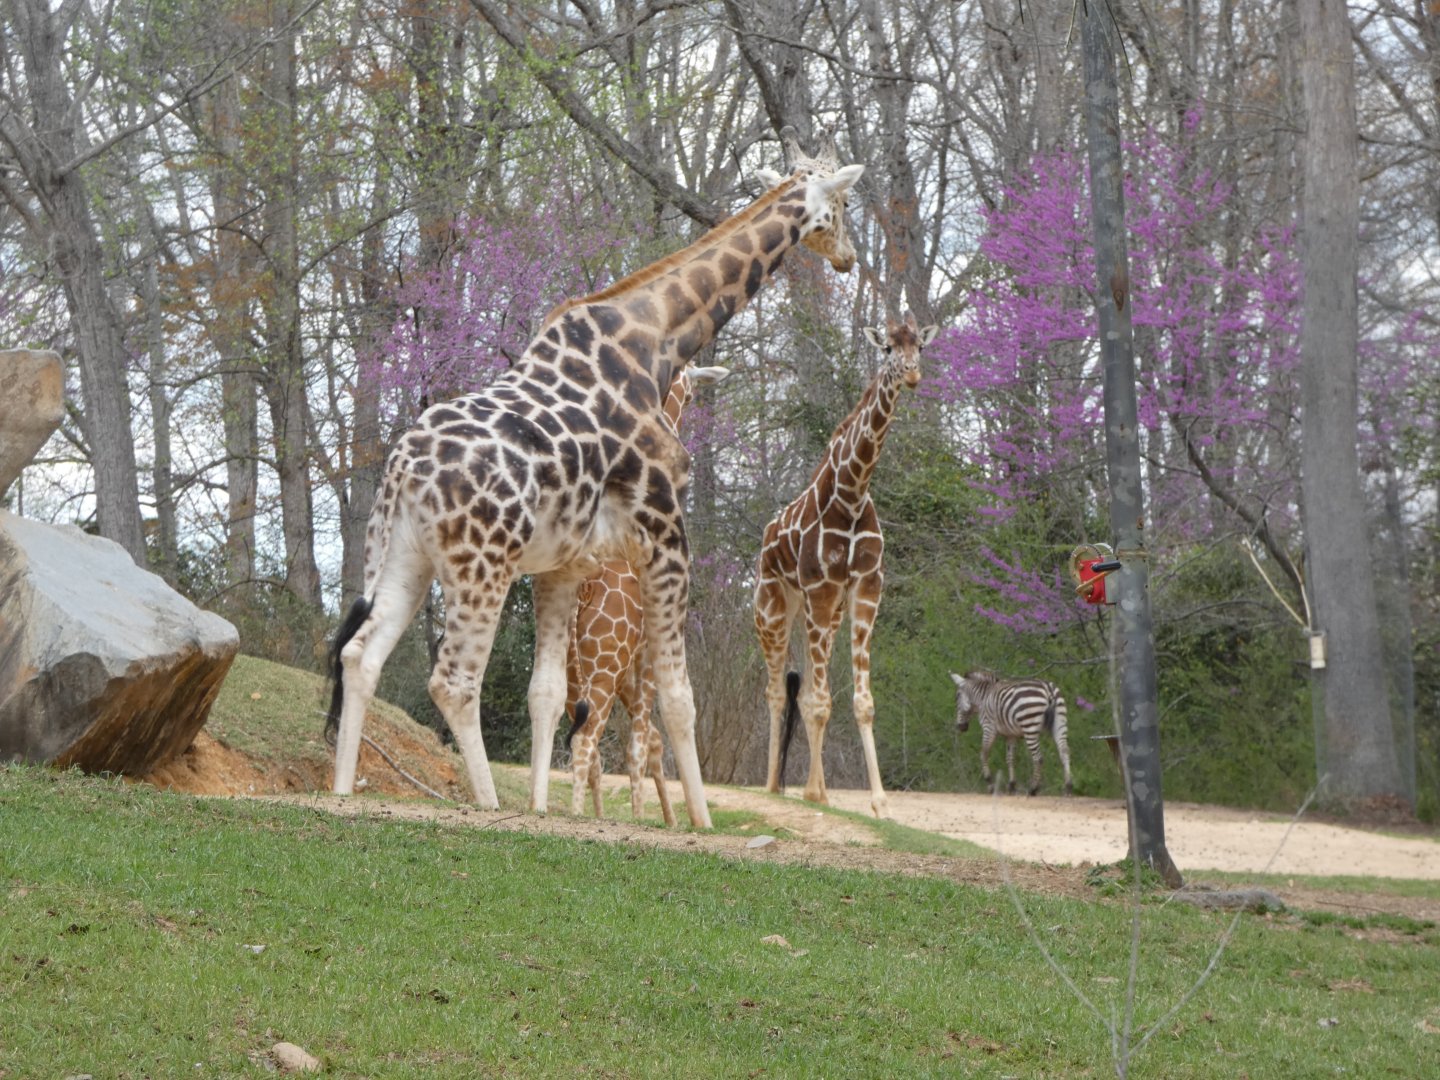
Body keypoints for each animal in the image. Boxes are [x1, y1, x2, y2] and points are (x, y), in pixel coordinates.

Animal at [565, 365, 730, 826]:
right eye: (689, 394)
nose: (687, 399)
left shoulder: (630, 670)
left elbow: (646, 742)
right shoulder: (645, 661)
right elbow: (640, 744)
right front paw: (642, 818)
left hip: (574, 666)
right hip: (603, 665)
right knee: (587, 740)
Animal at [753, 312, 939, 819]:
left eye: (920, 346)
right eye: (888, 349)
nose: (912, 374)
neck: (852, 495)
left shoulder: (865, 588)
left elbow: (860, 701)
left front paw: (878, 801)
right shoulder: (820, 587)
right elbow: (819, 702)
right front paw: (813, 794)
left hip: (823, 612)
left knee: (803, 688)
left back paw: (803, 787)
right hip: (774, 606)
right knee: (776, 690)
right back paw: (773, 786)